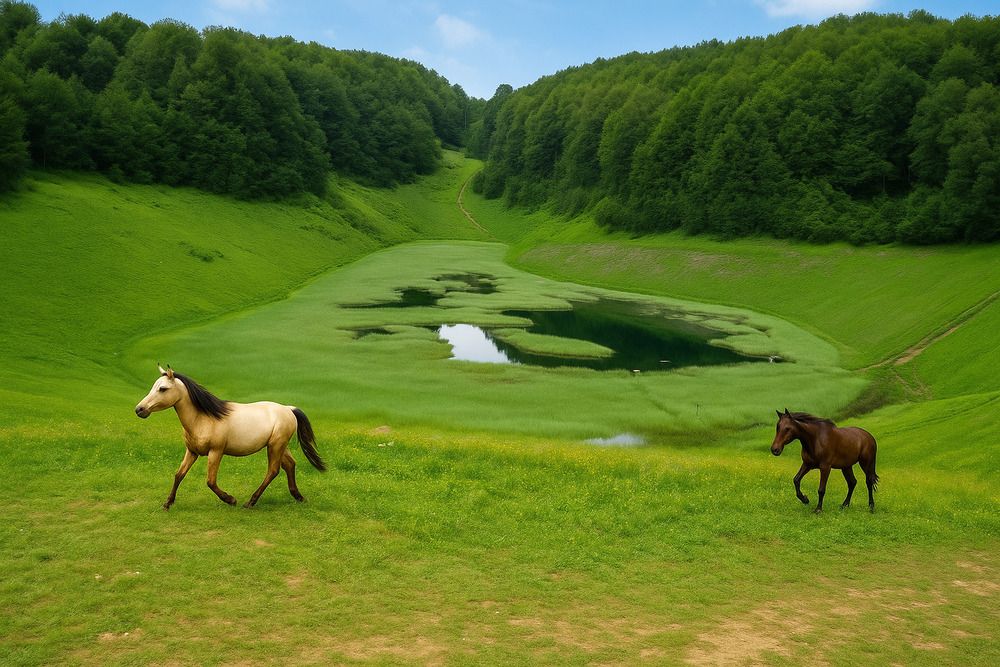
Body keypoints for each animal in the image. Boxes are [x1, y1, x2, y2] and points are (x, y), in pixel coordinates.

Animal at [135, 366, 326, 509]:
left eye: (163, 389)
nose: (139, 409)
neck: (203, 419)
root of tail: (288, 409)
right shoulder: (192, 452)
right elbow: (178, 475)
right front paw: (167, 503)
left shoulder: (216, 452)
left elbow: (210, 481)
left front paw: (231, 499)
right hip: (280, 446)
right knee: (290, 465)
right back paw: (298, 496)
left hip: (275, 446)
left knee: (273, 471)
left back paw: (250, 502)